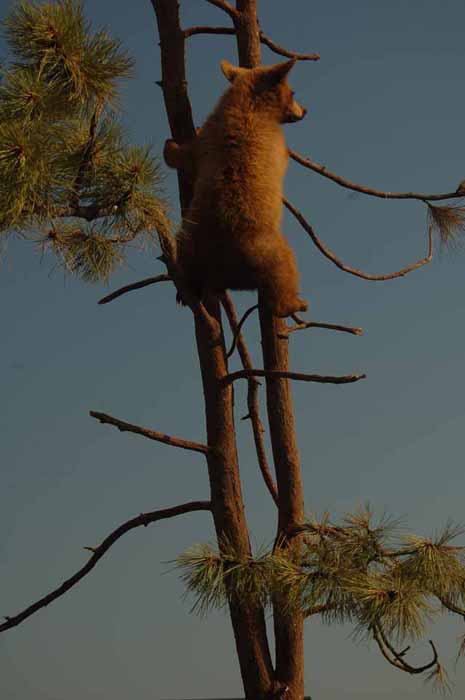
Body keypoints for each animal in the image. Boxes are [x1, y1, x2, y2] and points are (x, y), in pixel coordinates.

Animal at [164, 59, 308, 318]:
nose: (305, 110)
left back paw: (185, 291)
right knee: (286, 268)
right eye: (292, 92)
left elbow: (183, 156)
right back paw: (293, 303)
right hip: (269, 252)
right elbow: (283, 157)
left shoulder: (208, 137)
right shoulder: (275, 140)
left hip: (188, 244)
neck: (247, 103)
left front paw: (171, 145)